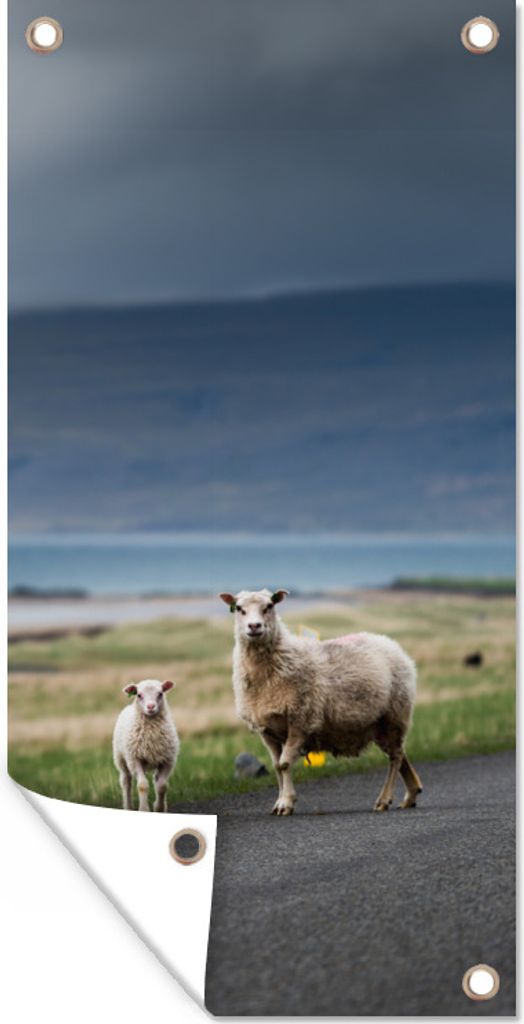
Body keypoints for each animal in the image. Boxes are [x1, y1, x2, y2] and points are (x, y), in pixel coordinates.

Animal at [112, 679, 179, 811]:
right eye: (139, 695)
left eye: (160, 693)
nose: (150, 707)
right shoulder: (135, 760)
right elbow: (142, 785)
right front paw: (144, 809)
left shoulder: (167, 761)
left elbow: (162, 786)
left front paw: (159, 808)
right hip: (121, 758)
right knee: (126, 781)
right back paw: (128, 807)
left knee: (156, 780)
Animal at [219, 588, 422, 816]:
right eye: (239, 608)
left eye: (269, 606)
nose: (254, 626)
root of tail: (392, 645)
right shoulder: (267, 730)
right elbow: (276, 766)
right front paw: (280, 801)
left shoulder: (300, 720)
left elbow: (285, 764)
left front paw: (286, 802)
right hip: (381, 724)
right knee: (400, 753)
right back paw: (411, 794)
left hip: (394, 715)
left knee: (395, 757)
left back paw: (384, 799)